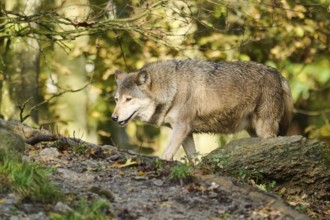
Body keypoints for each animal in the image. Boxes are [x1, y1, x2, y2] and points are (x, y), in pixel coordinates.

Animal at [111, 59, 294, 161]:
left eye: (129, 99)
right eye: (116, 99)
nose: (113, 117)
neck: (173, 87)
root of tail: (278, 74)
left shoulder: (181, 128)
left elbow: (166, 155)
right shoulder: (185, 132)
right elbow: (194, 159)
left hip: (264, 129)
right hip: (254, 131)